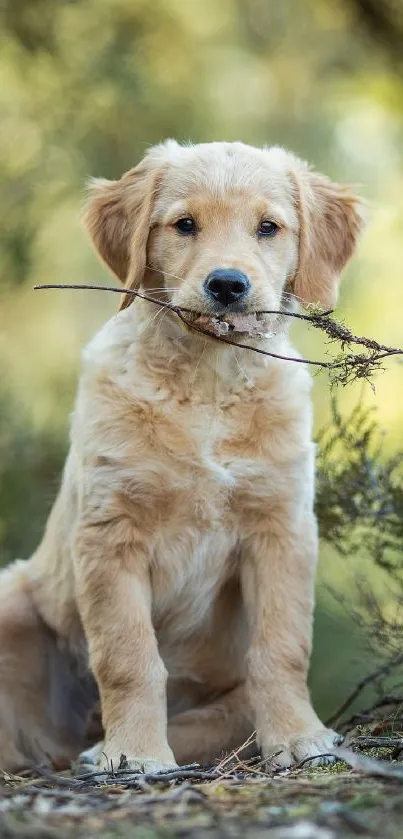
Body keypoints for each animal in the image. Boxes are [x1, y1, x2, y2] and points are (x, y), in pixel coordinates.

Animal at [0, 139, 364, 776]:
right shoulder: (110, 533)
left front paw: (299, 738)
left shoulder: (282, 528)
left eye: (268, 227)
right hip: (12, 602)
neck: (209, 381)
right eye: (185, 225)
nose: (227, 284)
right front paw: (137, 754)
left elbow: (282, 647)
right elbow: (129, 657)